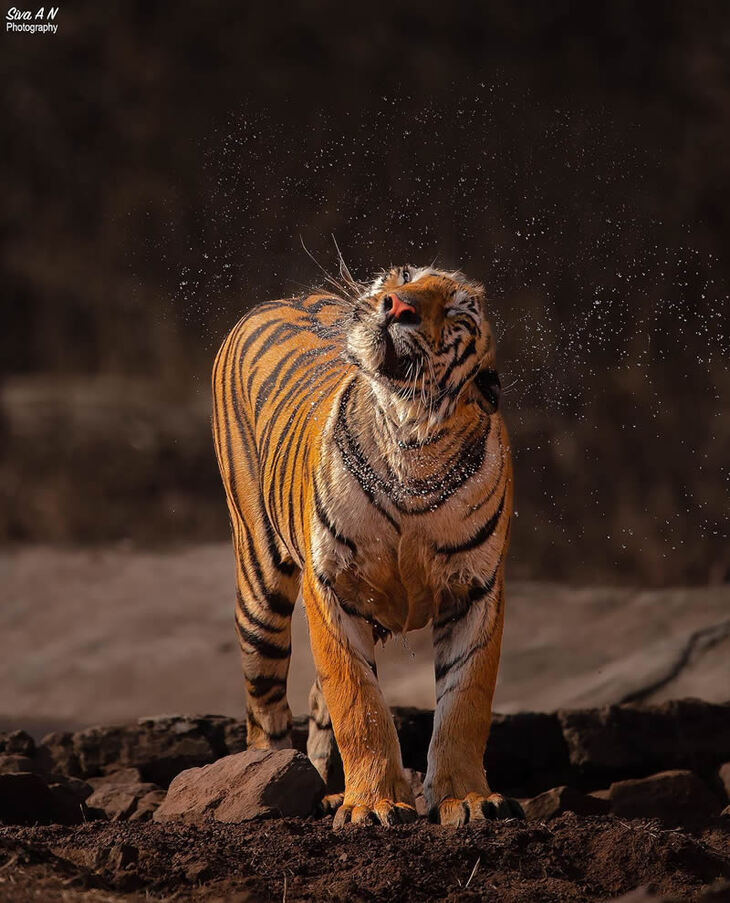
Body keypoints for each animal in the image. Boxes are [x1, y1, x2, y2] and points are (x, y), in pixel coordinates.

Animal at [210, 262, 524, 828]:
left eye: (458, 309)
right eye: (401, 278)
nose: (395, 305)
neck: (414, 445)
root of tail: (281, 298)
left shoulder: (477, 589)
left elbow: (464, 703)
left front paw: (465, 799)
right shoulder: (330, 584)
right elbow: (358, 702)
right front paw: (374, 804)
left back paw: (327, 788)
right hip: (260, 589)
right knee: (264, 706)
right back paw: (267, 781)